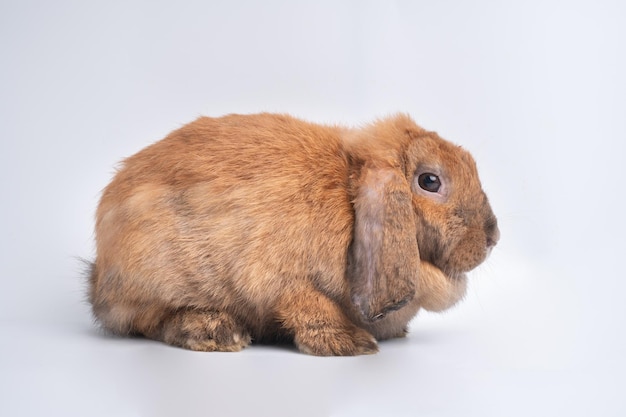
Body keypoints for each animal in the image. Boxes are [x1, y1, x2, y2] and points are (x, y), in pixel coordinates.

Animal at [86, 112, 498, 356]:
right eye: (430, 181)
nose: (492, 237)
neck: (349, 198)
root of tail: (98, 276)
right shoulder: (284, 282)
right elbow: (310, 308)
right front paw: (352, 344)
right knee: (149, 321)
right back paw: (217, 332)